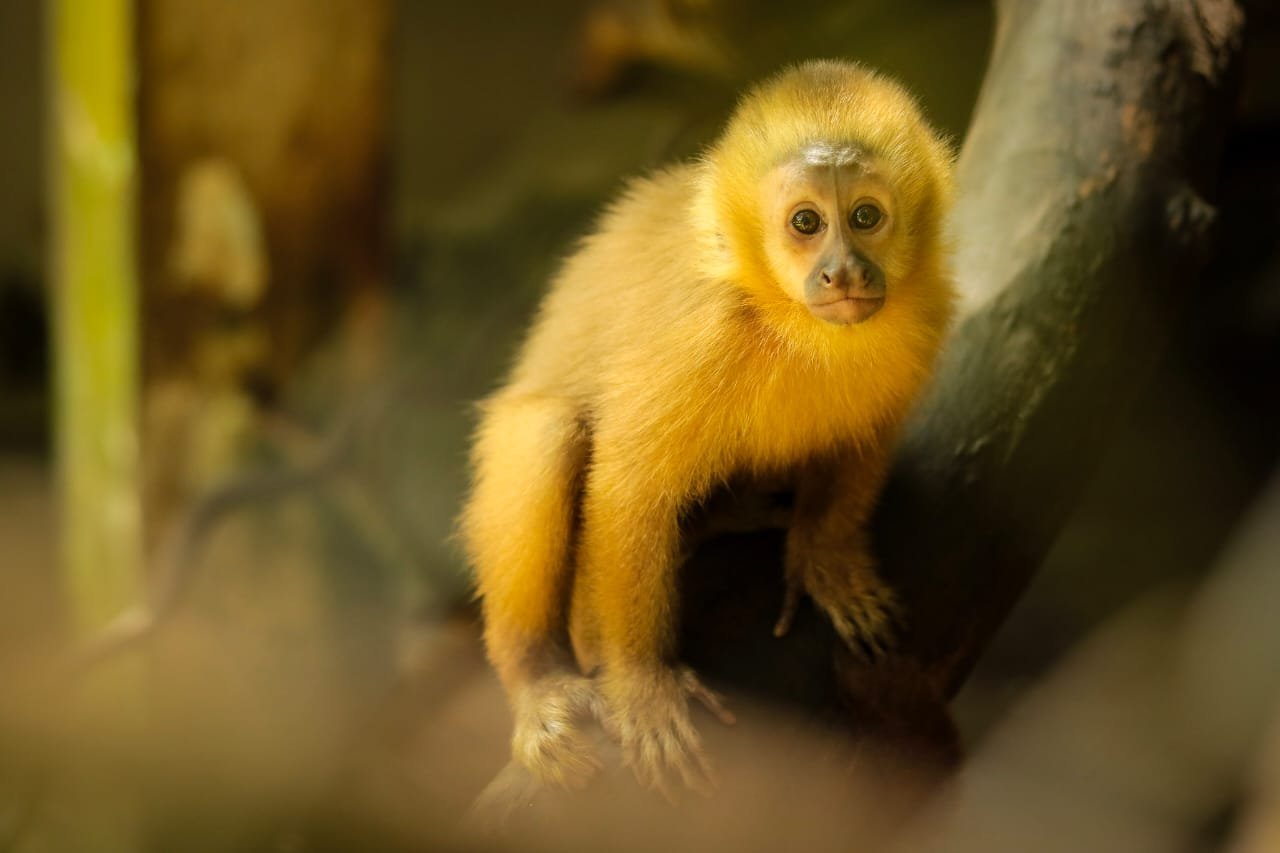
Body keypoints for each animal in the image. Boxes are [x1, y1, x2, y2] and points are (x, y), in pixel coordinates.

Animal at [460, 59, 956, 797]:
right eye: (806, 222)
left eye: (866, 217)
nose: (842, 270)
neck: (782, 316)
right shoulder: (702, 336)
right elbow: (628, 489)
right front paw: (642, 690)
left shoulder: (927, 308)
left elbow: (865, 435)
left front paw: (826, 558)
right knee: (550, 430)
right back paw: (537, 680)